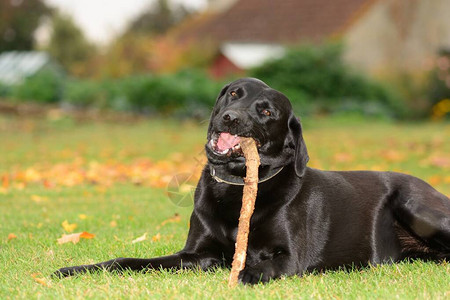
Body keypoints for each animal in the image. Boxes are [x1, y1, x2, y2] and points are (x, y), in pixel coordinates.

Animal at [56, 77, 450, 284]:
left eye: (266, 111)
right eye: (234, 93)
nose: (230, 117)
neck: (234, 186)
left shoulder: (290, 259)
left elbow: (251, 269)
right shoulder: (193, 253)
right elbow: (126, 262)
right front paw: (75, 268)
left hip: (417, 207)